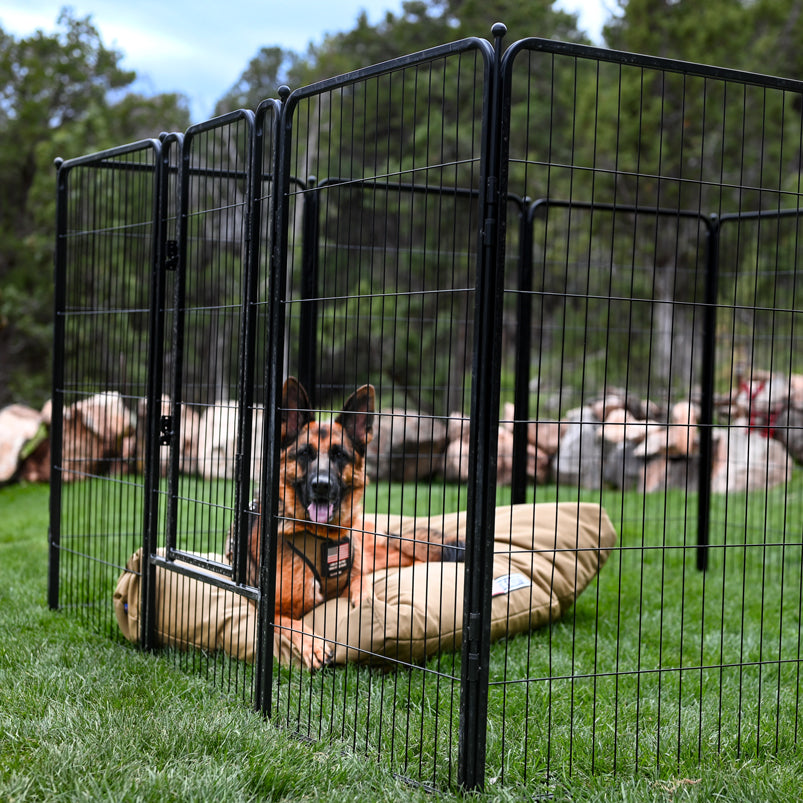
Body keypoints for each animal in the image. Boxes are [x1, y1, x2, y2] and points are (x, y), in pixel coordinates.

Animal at [226, 380, 464, 668]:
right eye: (305, 454)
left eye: (339, 455)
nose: (321, 486)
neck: (322, 535)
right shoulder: (266, 609)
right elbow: (290, 624)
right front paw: (314, 645)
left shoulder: (357, 573)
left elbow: (362, 586)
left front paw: (365, 605)